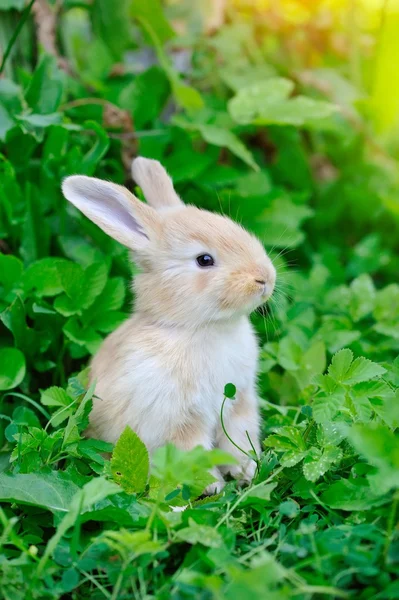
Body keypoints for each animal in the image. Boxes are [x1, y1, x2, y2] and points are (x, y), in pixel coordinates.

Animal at [62, 157, 276, 494]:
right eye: (204, 260)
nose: (265, 278)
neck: (197, 326)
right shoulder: (180, 418)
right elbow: (193, 451)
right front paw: (213, 487)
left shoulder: (239, 401)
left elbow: (238, 439)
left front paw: (246, 470)